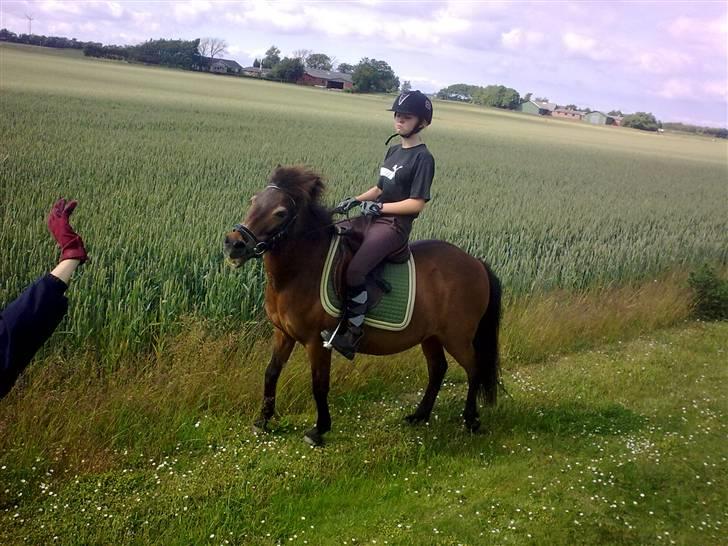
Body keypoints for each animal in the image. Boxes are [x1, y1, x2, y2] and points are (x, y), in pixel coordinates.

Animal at [223, 165, 500, 442]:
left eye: (280, 213)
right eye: (253, 201)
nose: (233, 244)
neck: (300, 271)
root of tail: (476, 262)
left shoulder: (317, 341)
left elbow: (319, 383)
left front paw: (319, 429)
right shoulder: (283, 333)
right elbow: (271, 372)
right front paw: (262, 420)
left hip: (457, 336)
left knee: (474, 368)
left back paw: (471, 419)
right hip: (431, 335)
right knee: (438, 368)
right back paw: (419, 415)